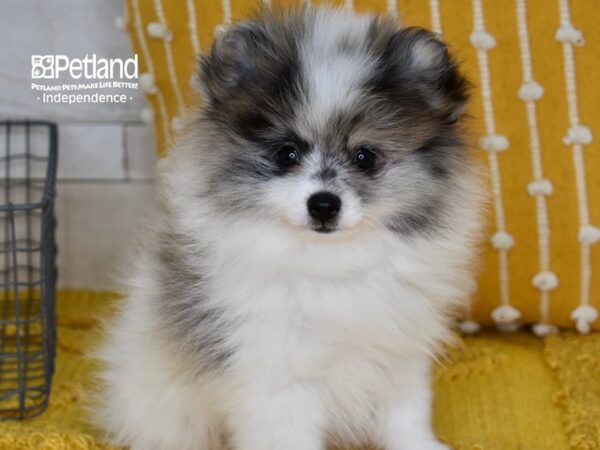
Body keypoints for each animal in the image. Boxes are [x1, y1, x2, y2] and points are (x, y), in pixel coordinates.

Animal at [96, 6, 486, 450]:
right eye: (287, 154)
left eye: (365, 156)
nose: (323, 204)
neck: (332, 264)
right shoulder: (276, 371)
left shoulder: (399, 351)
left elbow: (406, 413)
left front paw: (420, 444)